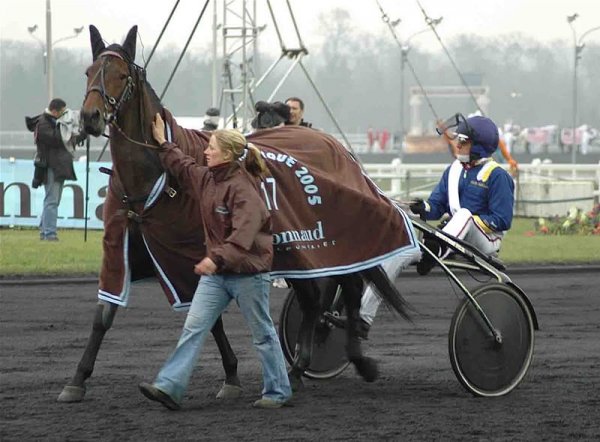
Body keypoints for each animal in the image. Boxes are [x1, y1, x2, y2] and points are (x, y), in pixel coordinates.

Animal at [59, 25, 418, 402]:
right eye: (88, 71)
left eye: (120, 74)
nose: (90, 117)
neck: (155, 178)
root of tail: (337, 146)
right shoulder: (122, 249)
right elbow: (105, 313)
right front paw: (77, 380)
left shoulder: (191, 254)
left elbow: (208, 316)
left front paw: (230, 376)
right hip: (295, 252)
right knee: (312, 302)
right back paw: (298, 369)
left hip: (336, 240)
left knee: (347, 287)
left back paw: (356, 360)